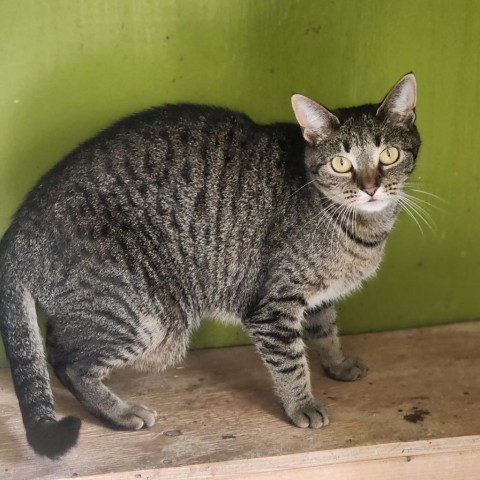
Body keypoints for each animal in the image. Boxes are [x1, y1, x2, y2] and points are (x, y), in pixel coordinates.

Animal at [0, 72, 420, 458]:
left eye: (388, 155)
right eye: (340, 163)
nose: (370, 188)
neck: (359, 228)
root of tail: (18, 227)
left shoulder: (318, 294)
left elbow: (326, 328)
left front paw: (337, 363)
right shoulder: (272, 307)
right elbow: (290, 362)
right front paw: (302, 404)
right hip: (145, 314)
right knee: (64, 359)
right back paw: (119, 412)